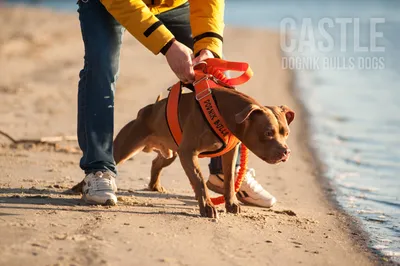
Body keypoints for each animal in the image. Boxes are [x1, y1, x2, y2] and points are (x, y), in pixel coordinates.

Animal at [112, 87, 294, 218]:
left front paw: (231, 203)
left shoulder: (229, 152)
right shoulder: (188, 152)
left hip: (171, 153)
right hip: (127, 146)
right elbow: (199, 180)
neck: (226, 114)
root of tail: (149, 109)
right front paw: (207, 206)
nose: (286, 152)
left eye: (286, 133)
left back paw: (155, 186)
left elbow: (229, 179)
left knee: (156, 163)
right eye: (268, 133)